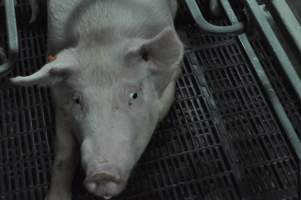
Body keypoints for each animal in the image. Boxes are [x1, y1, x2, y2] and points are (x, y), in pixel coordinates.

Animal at [11, 0, 183, 199]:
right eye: (77, 100)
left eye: (134, 95)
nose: (102, 174)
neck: (102, 30)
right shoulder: (59, 100)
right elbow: (64, 153)